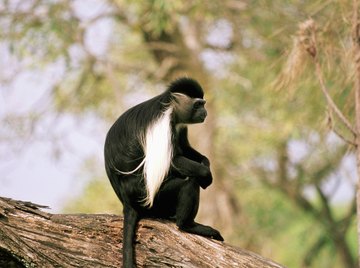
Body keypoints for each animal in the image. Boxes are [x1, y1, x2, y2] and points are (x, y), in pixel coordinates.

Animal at [103, 76, 222, 266]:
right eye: (198, 104)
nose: (205, 112)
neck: (170, 107)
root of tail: (127, 203)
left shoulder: (180, 126)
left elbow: (185, 149)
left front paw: (206, 162)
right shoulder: (163, 126)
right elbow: (170, 161)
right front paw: (206, 174)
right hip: (156, 201)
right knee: (188, 183)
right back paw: (187, 225)